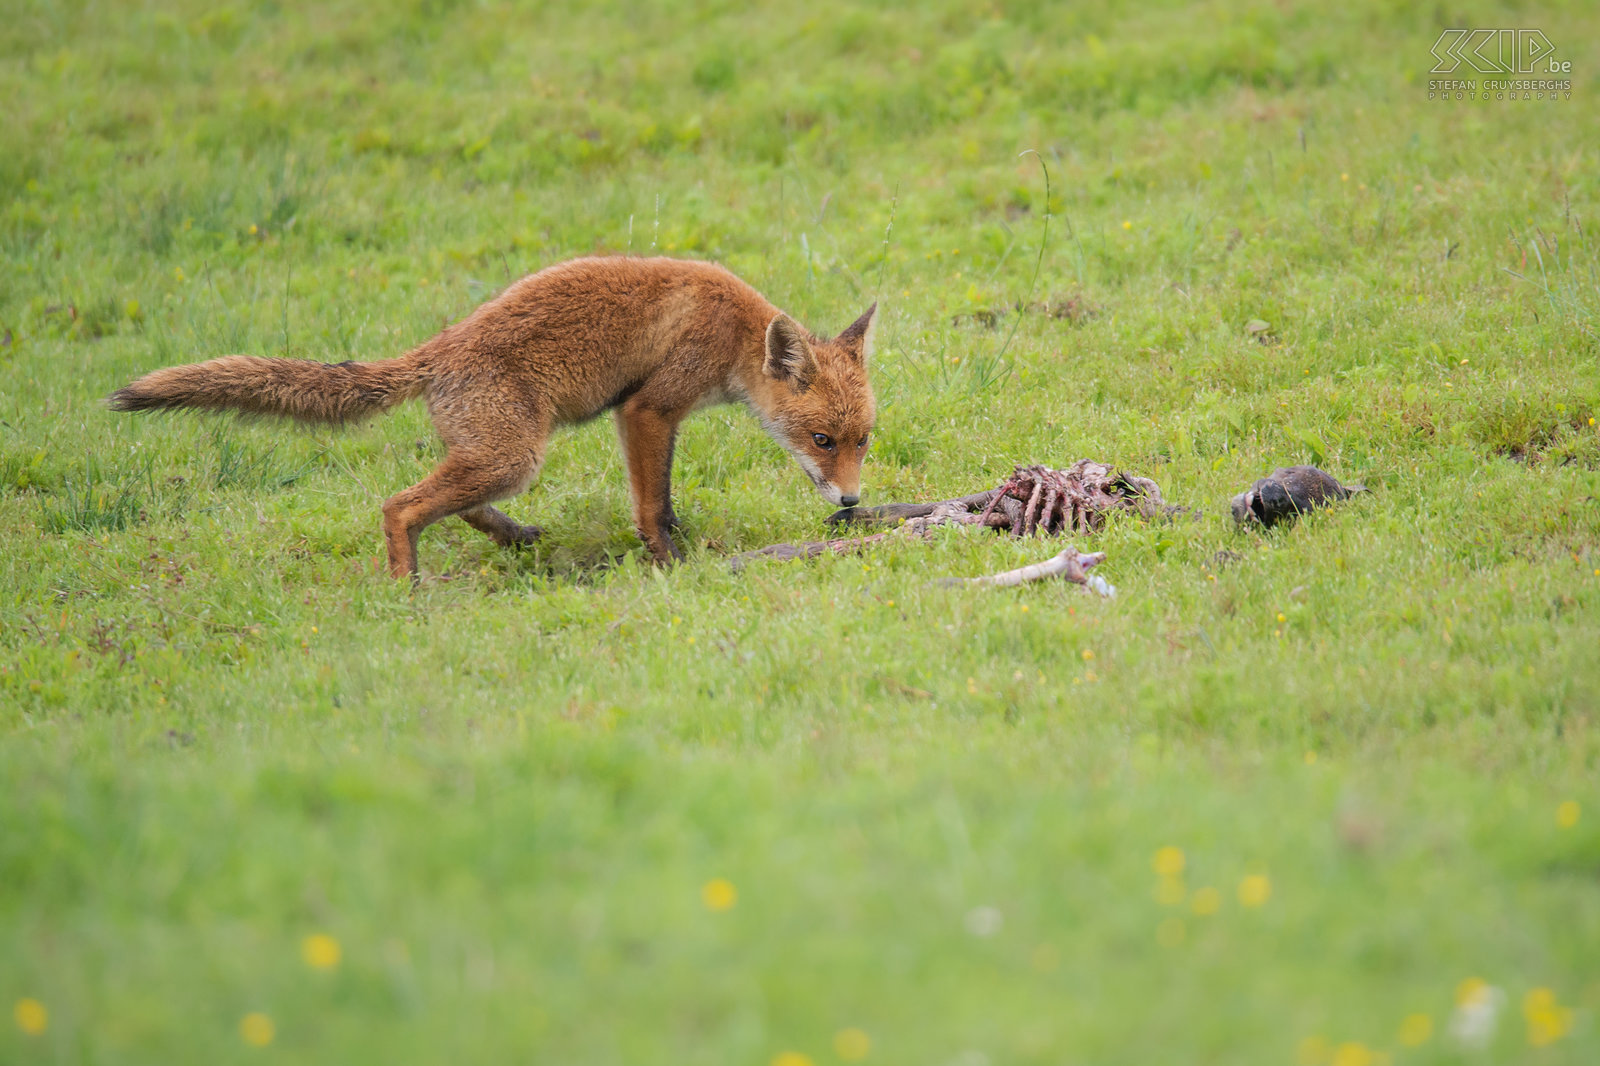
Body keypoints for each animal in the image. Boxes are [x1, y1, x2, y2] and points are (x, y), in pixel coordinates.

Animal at [109, 254, 876, 576]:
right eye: (821, 439)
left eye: (863, 442)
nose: (850, 502)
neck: (735, 335)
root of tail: (438, 348)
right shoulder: (648, 408)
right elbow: (650, 505)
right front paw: (669, 564)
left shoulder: (659, 418)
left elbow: (663, 497)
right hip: (516, 455)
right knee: (399, 507)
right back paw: (406, 591)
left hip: (498, 456)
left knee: (452, 501)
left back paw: (510, 537)